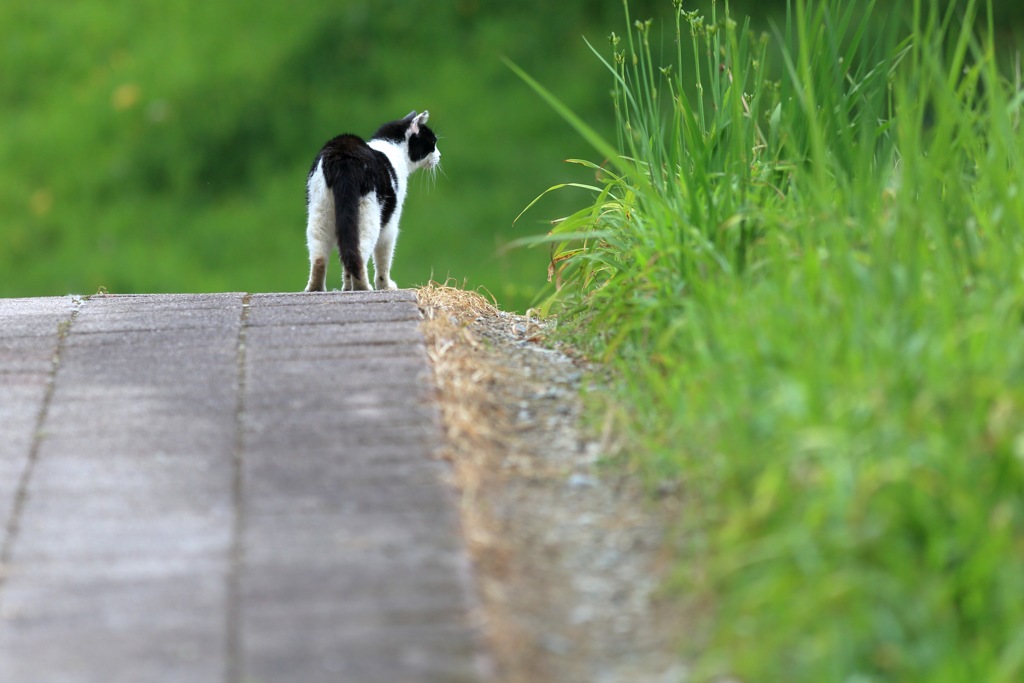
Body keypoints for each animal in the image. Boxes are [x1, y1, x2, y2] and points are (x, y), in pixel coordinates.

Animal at [299, 111, 436, 292]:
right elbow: (383, 259)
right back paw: (362, 286)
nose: (439, 156)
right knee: (360, 252)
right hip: (369, 216)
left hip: (320, 210)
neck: (392, 147)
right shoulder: (390, 225)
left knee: (321, 253)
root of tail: (343, 154)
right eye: (433, 143)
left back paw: (316, 288)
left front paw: (346, 288)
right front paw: (385, 286)